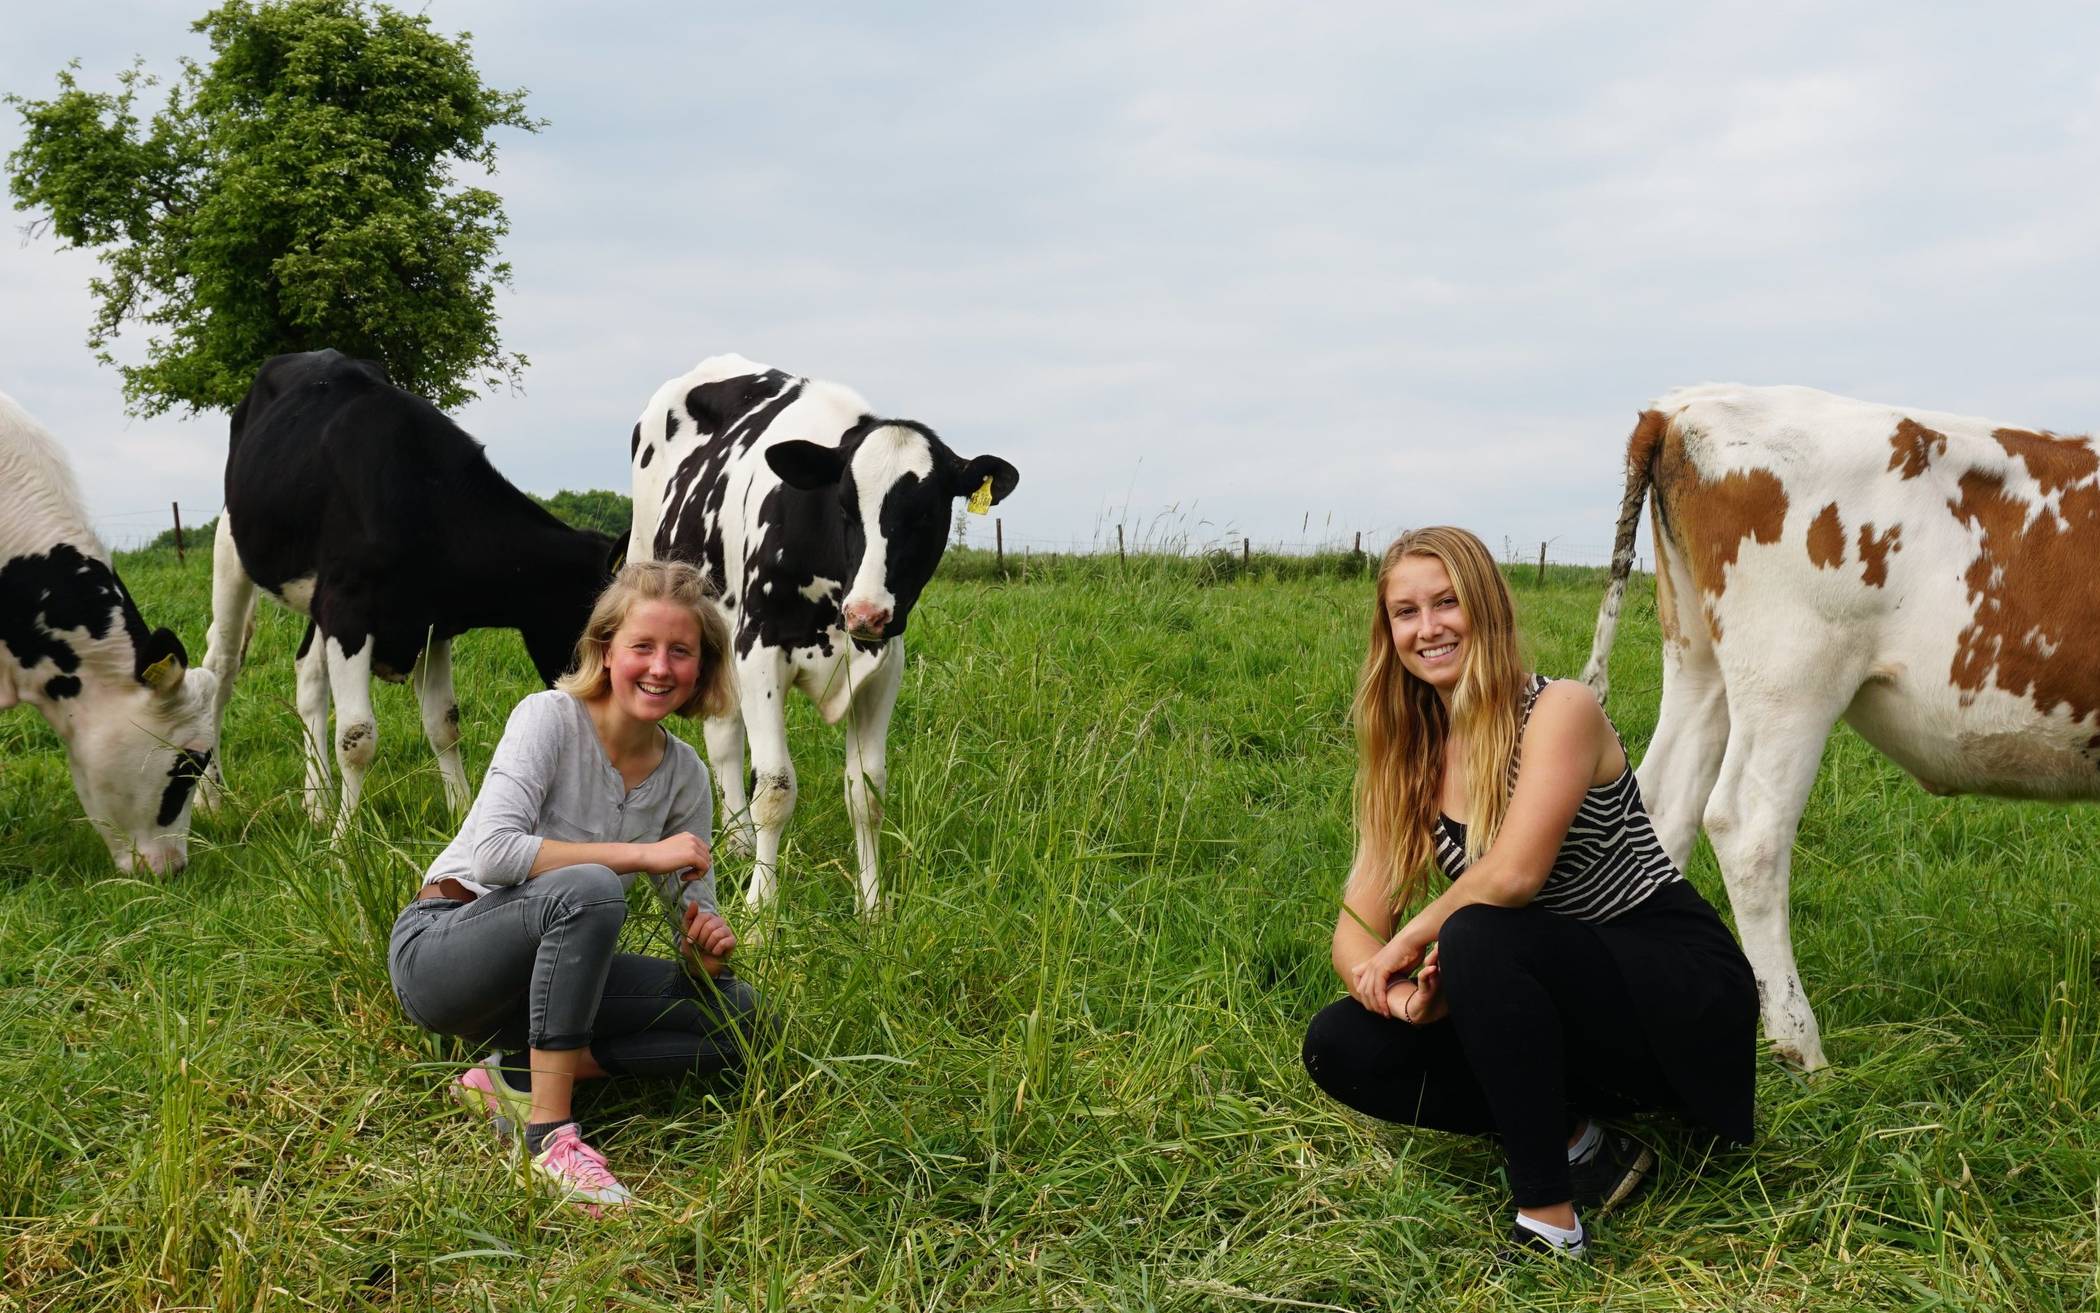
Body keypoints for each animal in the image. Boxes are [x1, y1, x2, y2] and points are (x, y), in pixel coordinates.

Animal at [200, 348, 617, 836]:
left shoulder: (432, 623)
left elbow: (444, 722)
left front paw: (461, 812)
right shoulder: (349, 612)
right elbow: (357, 737)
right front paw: (345, 842)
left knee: (309, 674)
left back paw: (316, 803)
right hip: (231, 547)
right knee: (221, 667)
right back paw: (211, 798)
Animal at [621, 352, 1016, 915]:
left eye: (926, 514)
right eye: (845, 507)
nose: (867, 612)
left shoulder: (884, 664)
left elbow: (865, 791)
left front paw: (872, 907)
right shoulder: (758, 649)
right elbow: (775, 787)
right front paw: (760, 910)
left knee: (722, 733)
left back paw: (737, 844)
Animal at [1579, 384, 2100, 1071]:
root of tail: (1684, 406)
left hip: (1699, 659)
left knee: (1665, 807)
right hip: (1791, 676)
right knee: (1747, 831)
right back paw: (1801, 1047)